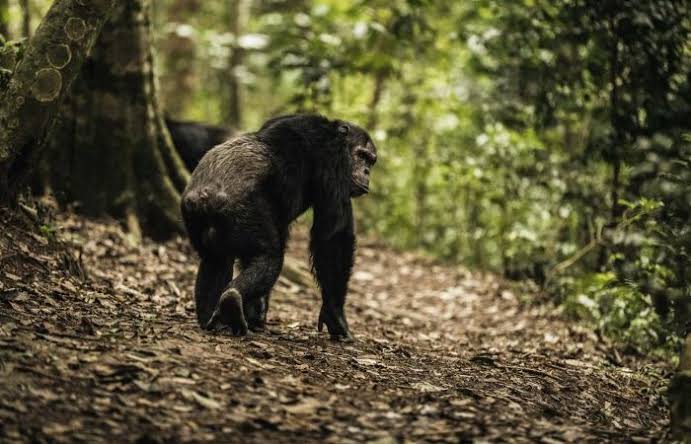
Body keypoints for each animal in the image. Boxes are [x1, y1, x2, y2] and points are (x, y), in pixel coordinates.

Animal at [181, 114, 377, 340]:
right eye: (362, 155)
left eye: (371, 160)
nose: (366, 171)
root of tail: (205, 194)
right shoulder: (334, 163)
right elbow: (333, 236)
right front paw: (335, 316)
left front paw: (257, 311)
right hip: (244, 212)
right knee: (269, 257)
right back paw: (232, 300)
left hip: (196, 219)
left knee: (215, 261)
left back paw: (213, 320)